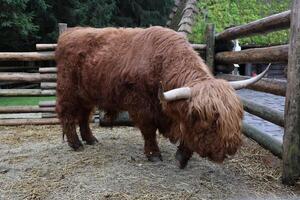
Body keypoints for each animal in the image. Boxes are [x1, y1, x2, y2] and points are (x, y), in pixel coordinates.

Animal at [55, 25, 268, 168]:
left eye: (237, 115)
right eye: (211, 121)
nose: (230, 146)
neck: (161, 63)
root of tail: (70, 32)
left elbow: (185, 132)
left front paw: (182, 156)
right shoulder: (141, 105)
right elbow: (149, 130)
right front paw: (154, 154)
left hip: (87, 95)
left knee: (84, 116)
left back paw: (90, 139)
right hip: (68, 91)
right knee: (67, 115)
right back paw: (76, 144)